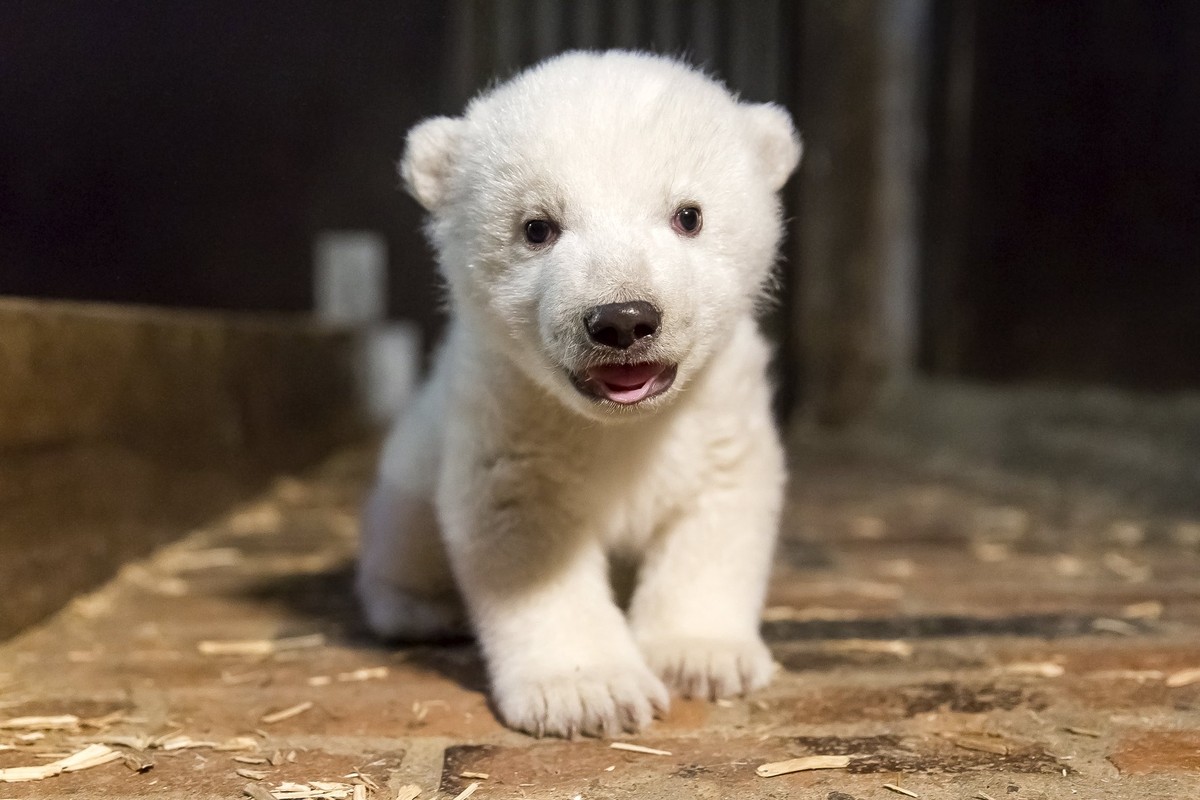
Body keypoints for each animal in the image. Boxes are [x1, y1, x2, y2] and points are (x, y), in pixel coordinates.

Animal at [357, 50, 801, 738]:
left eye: (689, 215)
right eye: (537, 227)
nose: (623, 319)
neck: (622, 423)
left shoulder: (718, 409)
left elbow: (718, 511)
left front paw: (701, 658)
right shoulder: (510, 414)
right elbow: (526, 535)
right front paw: (590, 693)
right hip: (409, 476)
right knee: (401, 540)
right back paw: (421, 611)